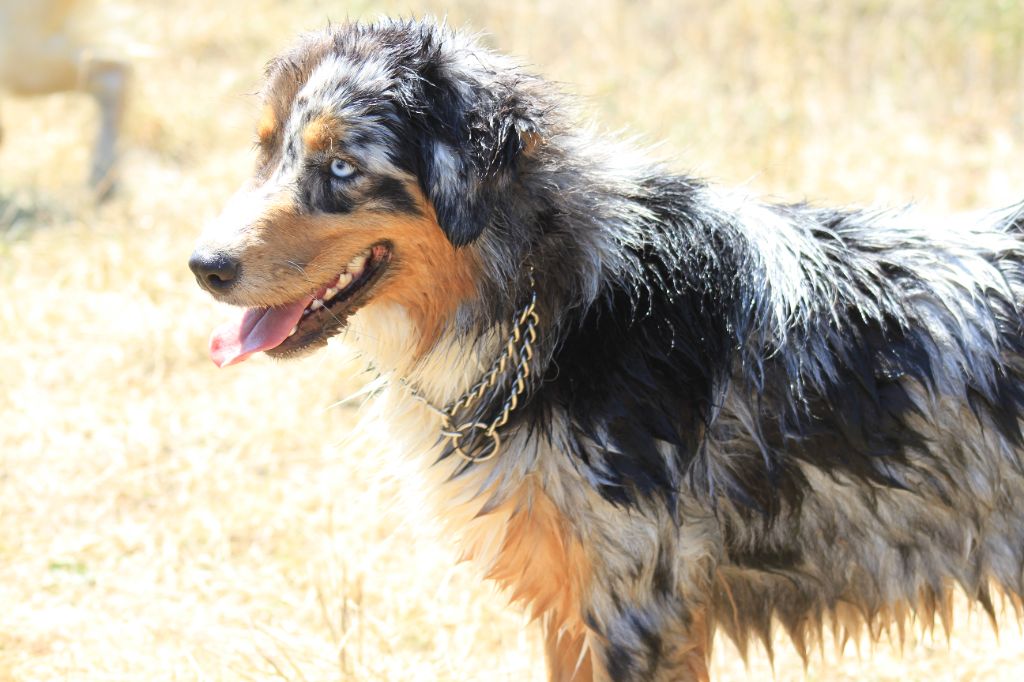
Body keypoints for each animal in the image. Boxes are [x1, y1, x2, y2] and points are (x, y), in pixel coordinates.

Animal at [188, 17, 1024, 679]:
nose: (203, 266)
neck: (564, 309)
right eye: (265, 153)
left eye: (340, 167)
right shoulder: (571, 607)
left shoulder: (639, 610)